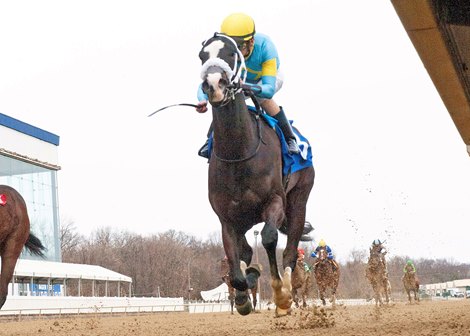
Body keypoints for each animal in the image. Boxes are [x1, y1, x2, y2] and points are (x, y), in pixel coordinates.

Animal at [197, 32, 312, 316]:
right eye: (202, 56)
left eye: (231, 53)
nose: (213, 84)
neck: (239, 151)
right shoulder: (227, 217)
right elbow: (235, 259)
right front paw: (243, 293)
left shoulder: (276, 201)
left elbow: (269, 238)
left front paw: (279, 292)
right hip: (245, 219)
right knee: (247, 251)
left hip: (299, 200)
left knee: (289, 251)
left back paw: (286, 293)